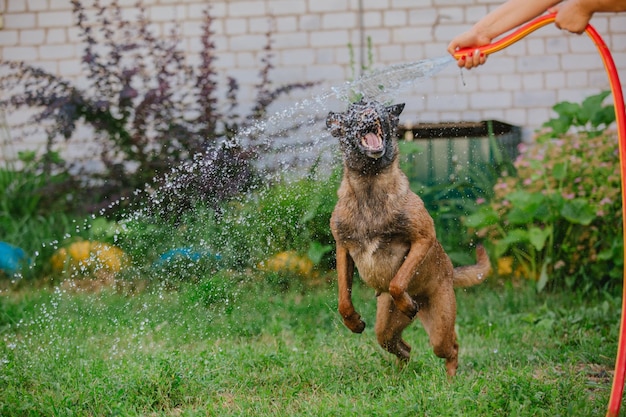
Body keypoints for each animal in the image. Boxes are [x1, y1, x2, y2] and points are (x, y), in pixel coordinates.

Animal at [324, 99, 490, 376]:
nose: (369, 113)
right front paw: (353, 322)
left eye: (375, 106)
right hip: (387, 322)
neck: (370, 186)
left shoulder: (423, 238)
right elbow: (343, 300)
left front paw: (406, 301)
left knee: (450, 348)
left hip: (440, 323)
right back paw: (400, 367)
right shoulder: (343, 248)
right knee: (396, 343)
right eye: (354, 110)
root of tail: (450, 271)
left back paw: (451, 379)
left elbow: (398, 281)